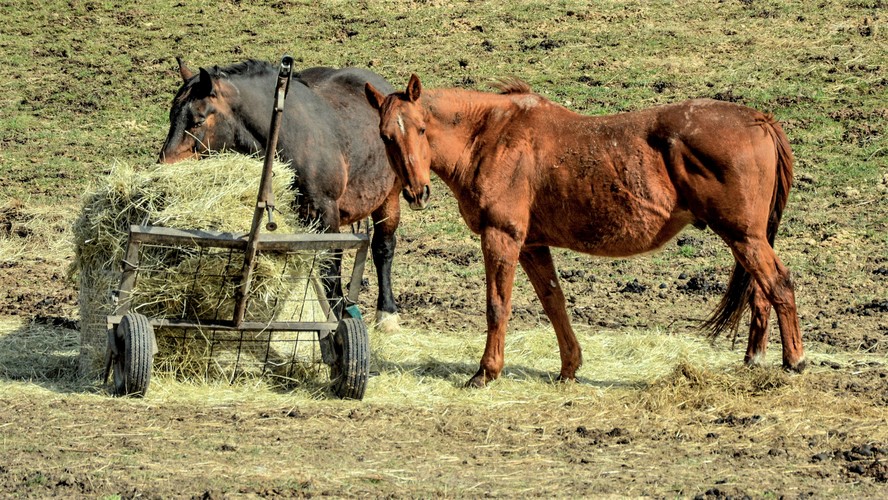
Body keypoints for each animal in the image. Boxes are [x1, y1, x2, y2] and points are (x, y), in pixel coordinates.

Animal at [161, 57, 404, 328]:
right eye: (172, 116)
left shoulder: (326, 213)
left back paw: (387, 314)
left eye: (199, 120)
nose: (165, 166)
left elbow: (330, 268)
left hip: (389, 196)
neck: (287, 134)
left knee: (383, 248)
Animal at [364, 73, 808, 386]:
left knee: (779, 285)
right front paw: (569, 367)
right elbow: (554, 303)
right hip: (747, 239)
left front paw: (485, 372)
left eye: (421, 129)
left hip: (743, 237)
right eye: (386, 136)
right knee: (760, 293)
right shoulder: (532, 245)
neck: (491, 136)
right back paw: (755, 360)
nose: (417, 192)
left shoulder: (502, 237)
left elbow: (497, 306)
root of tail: (760, 119)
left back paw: (794, 361)